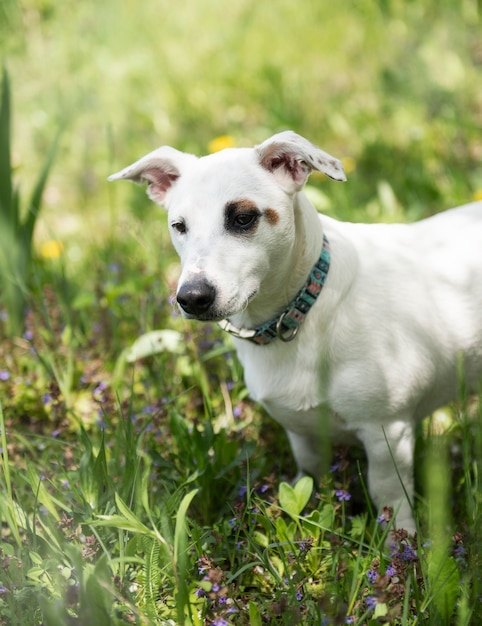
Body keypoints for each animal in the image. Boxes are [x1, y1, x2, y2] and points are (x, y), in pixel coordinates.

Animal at [109, 130, 482, 532]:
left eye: (243, 218)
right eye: (179, 226)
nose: (192, 297)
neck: (302, 313)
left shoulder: (388, 434)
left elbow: (390, 500)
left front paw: (402, 543)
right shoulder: (302, 435)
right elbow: (310, 481)